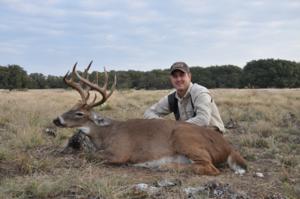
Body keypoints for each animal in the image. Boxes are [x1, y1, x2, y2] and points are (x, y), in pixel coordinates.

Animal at [52, 62, 247, 176]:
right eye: (71, 107)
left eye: (80, 113)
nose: (56, 120)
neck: (106, 134)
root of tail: (228, 147)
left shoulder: (121, 152)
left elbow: (88, 155)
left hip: (185, 138)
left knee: (211, 168)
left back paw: (161, 166)